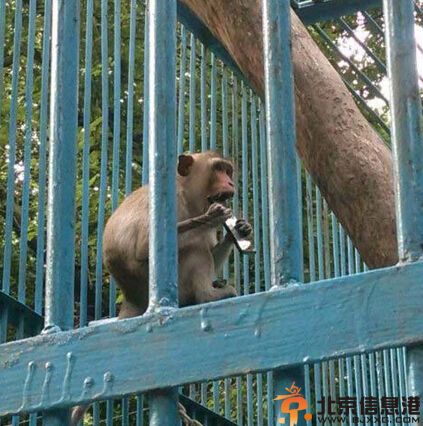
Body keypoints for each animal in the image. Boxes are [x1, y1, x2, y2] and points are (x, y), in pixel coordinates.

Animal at [69, 151, 252, 424]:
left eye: (228, 171)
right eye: (218, 169)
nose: (230, 183)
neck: (186, 193)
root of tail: (133, 299)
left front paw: (238, 230)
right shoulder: (169, 203)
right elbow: (144, 248)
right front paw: (212, 217)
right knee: (195, 248)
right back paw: (209, 294)